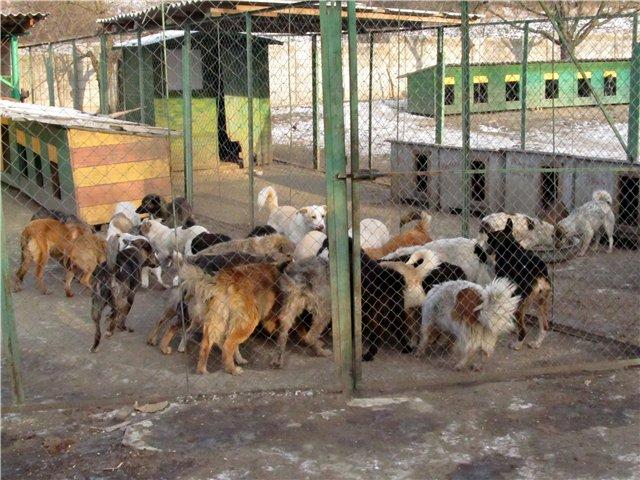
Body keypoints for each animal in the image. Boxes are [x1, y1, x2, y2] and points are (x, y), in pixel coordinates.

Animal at [486, 219, 552, 350]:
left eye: (489, 241)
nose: (486, 250)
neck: (510, 246)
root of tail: (538, 273)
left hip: (520, 303)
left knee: (523, 330)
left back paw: (517, 344)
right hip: (540, 302)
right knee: (545, 326)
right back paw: (536, 343)